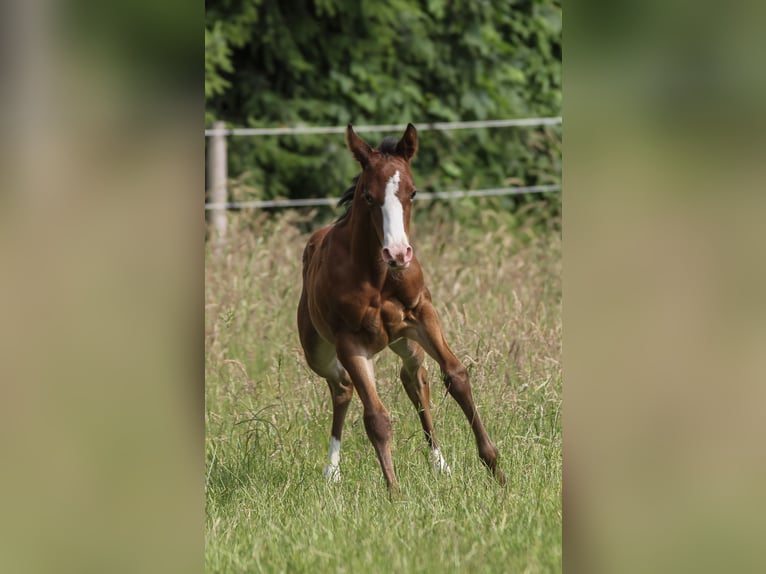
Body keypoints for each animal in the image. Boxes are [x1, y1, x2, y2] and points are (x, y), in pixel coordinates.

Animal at [297, 123, 505, 490]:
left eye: (413, 193)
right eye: (368, 196)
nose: (398, 253)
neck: (378, 275)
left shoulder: (422, 315)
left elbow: (456, 376)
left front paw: (495, 468)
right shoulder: (349, 342)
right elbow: (376, 418)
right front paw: (394, 492)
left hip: (404, 340)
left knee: (414, 379)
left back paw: (440, 464)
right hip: (318, 351)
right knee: (342, 387)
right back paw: (331, 471)